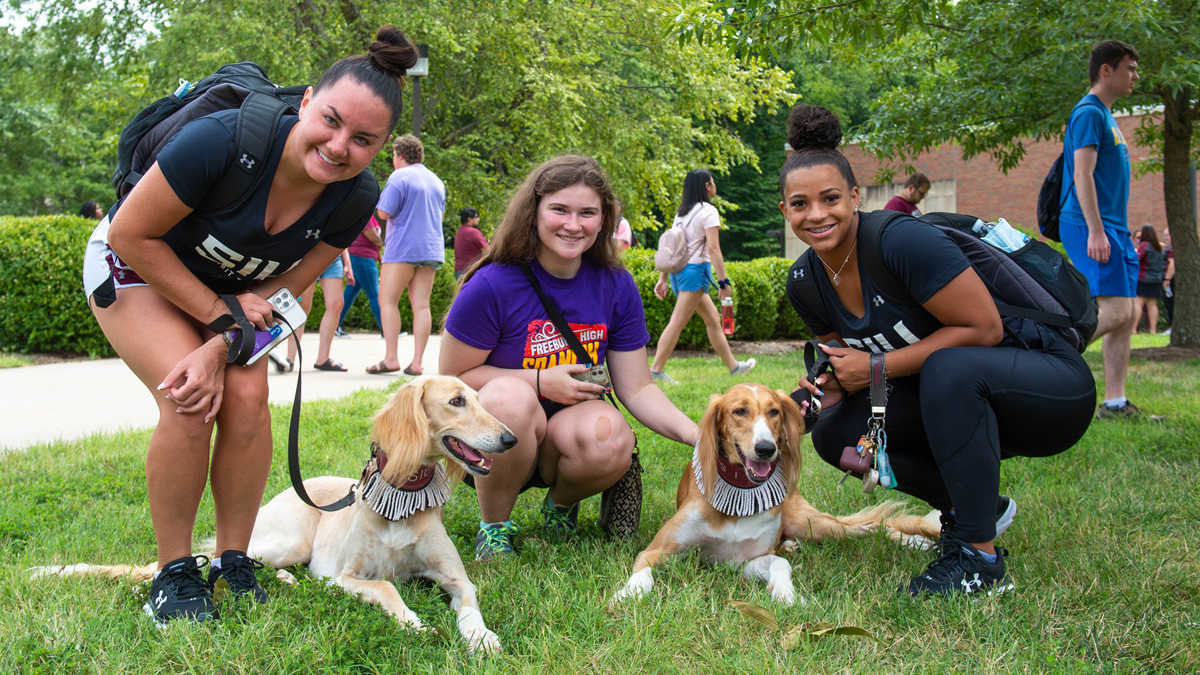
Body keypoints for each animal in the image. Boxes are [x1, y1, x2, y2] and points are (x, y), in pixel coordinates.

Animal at [32, 372, 516, 653]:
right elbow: (386, 587)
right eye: (457, 401)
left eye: (478, 398)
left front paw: (483, 638)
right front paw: (414, 624)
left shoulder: (455, 577)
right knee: (229, 560)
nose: (510, 439)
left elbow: (469, 606)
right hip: (290, 542)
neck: (402, 498)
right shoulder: (344, 576)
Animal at [619, 384, 936, 605]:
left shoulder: (745, 560)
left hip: (811, 524)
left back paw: (915, 541)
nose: (766, 449)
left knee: (869, 527)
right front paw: (627, 594)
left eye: (774, 412)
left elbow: (780, 564)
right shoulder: (659, 550)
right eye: (739, 411)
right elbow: (642, 570)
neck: (741, 492)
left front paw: (786, 595)